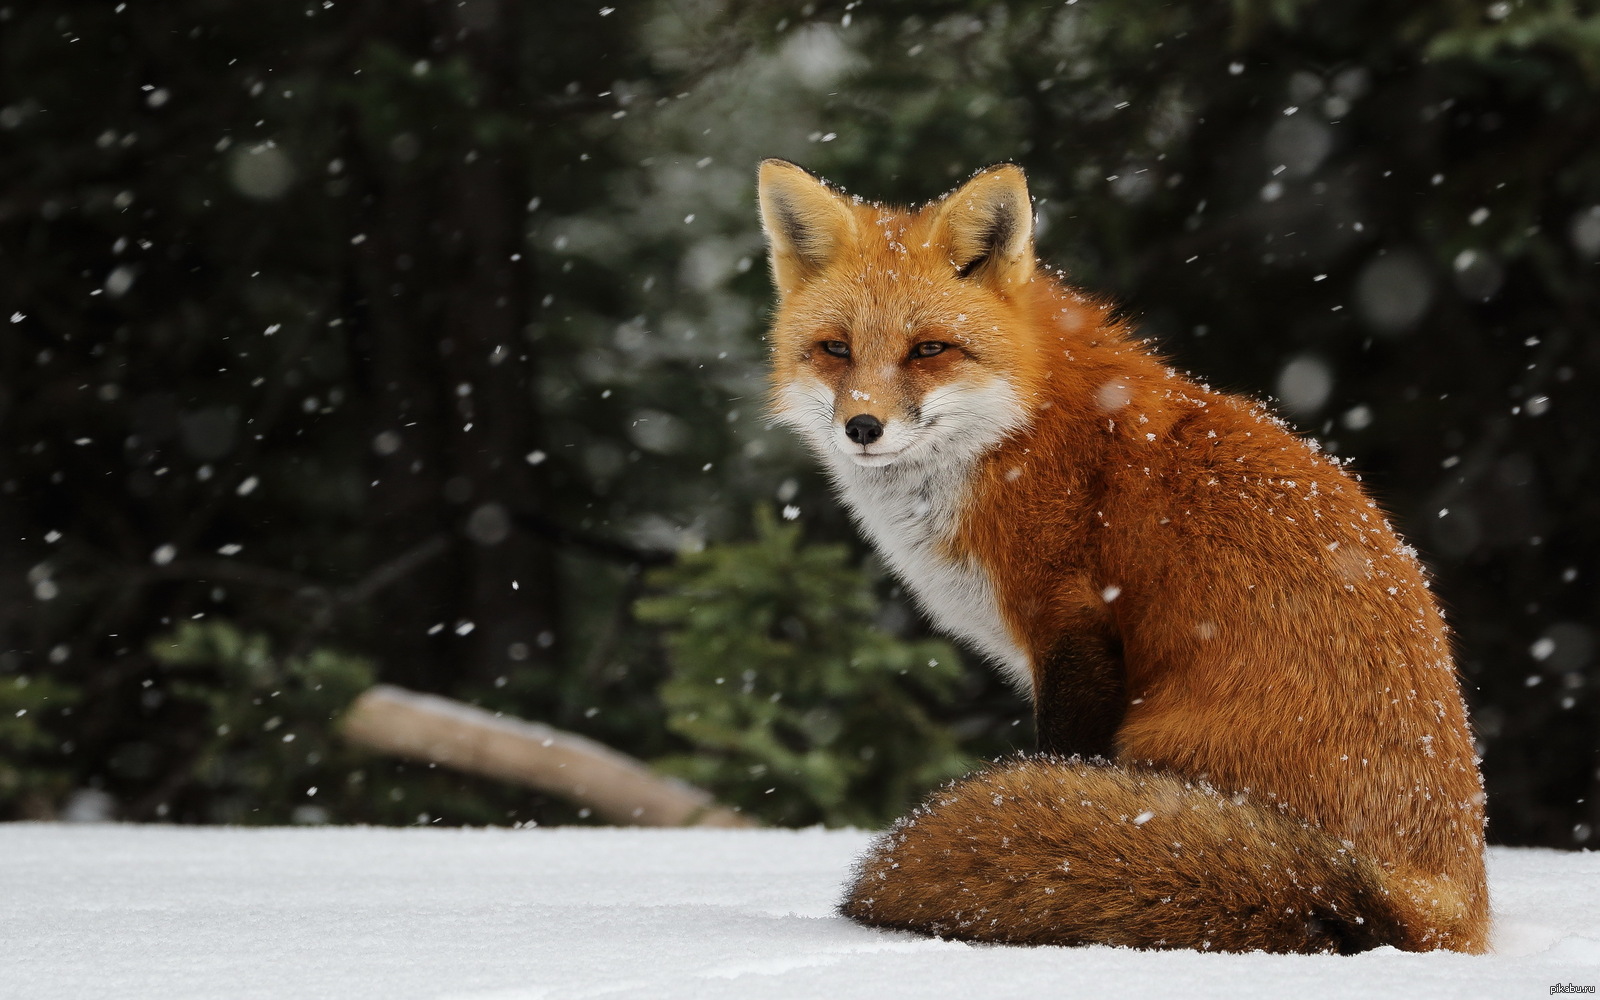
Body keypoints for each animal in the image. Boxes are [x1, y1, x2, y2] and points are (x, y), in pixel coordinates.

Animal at [758, 160, 1484, 953]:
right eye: (836, 348)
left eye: (928, 350)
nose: (863, 427)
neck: (1015, 434)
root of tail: (1432, 904)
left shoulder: (1072, 626)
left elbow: (1061, 756)